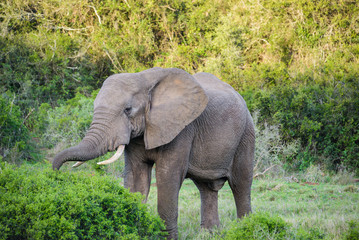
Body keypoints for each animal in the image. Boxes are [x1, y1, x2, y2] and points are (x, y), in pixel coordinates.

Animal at [52, 66, 256, 239]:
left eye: (128, 110)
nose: (56, 175)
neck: (143, 79)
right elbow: (137, 178)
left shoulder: (181, 129)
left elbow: (167, 176)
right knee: (206, 188)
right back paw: (210, 235)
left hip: (246, 134)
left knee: (240, 184)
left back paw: (245, 229)